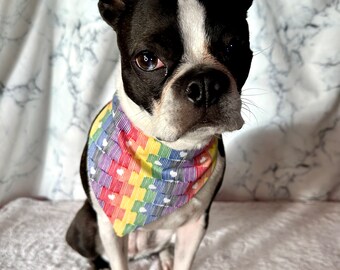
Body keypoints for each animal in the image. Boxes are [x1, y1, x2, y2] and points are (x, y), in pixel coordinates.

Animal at [65, 1, 252, 268]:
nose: (205, 84)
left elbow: (184, 262)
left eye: (234, 46)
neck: (172, 152)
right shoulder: (110, 228)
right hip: (84, 225)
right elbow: (118, 262)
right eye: (147, 60)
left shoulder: (196, 224)